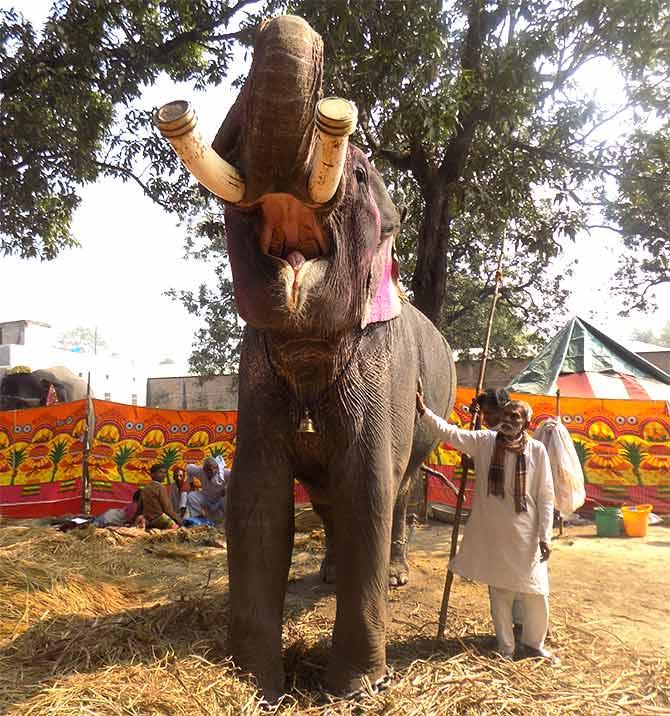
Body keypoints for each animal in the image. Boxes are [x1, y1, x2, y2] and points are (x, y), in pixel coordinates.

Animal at [156, 14, 460, 704]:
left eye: (363, 173)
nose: (288, 24)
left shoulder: (382, 366)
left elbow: (367, 484)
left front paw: (354, 688)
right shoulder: (256, 368)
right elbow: (258, 495)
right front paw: (255, 683)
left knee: (399, 488)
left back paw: (393, 574)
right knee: (325, 497)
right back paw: (325, 576)